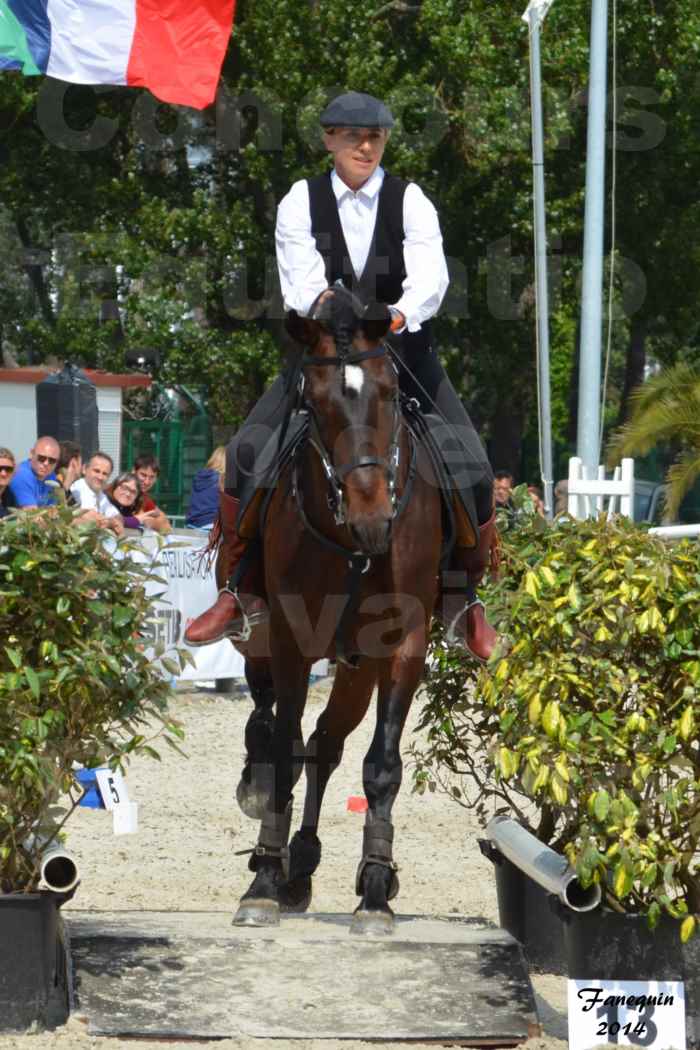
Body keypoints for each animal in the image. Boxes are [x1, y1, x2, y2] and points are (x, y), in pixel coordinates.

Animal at [232, 287, 440, 936]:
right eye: (315, 401)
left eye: (389, 392)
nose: (373, 519)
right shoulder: (291, 637)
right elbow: (282, 749)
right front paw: (262, 882)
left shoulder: (404, 644)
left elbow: (381, 765)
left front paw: (375, 888)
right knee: (279, 726)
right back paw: (279, 852)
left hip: (356, 667)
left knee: (325, 744)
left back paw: (304, 864)